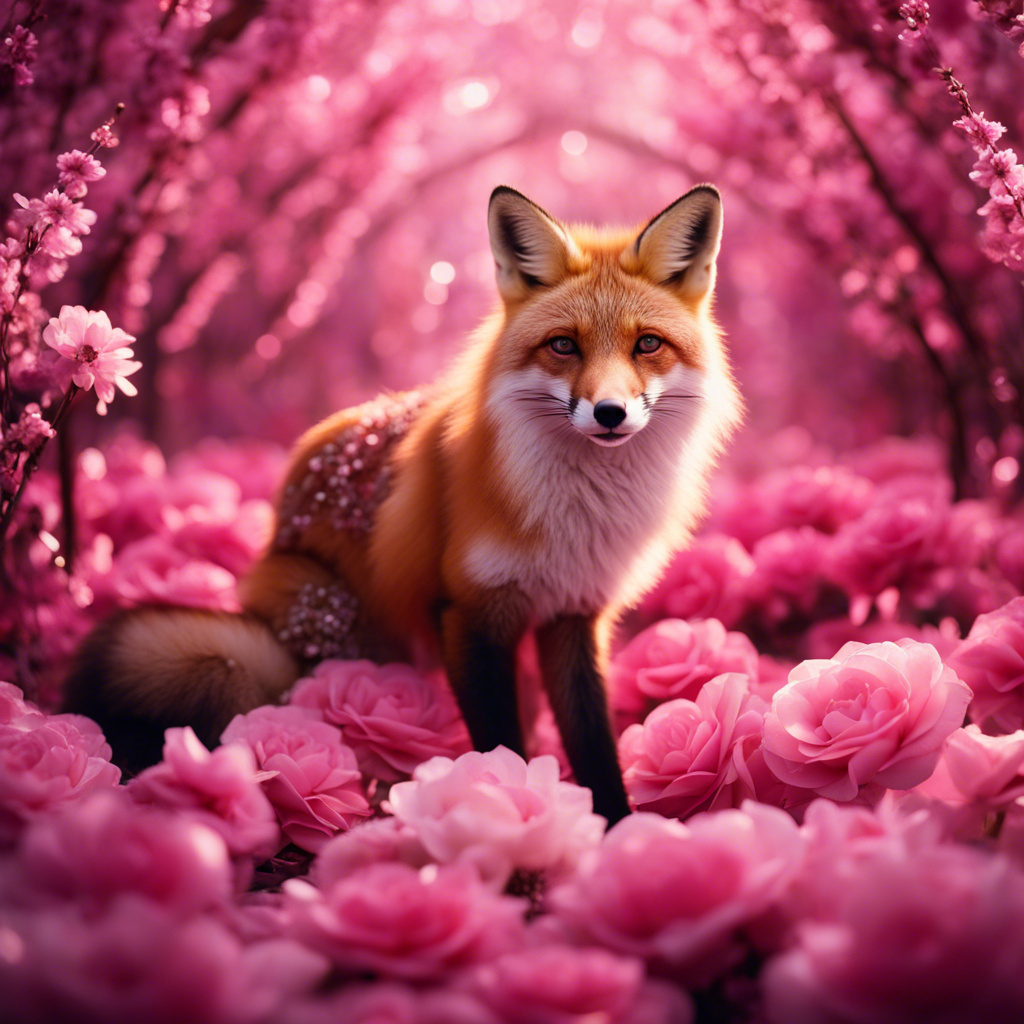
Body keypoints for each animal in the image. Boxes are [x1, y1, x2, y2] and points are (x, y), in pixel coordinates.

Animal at [63, 184, 742, 825]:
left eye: (647, 344)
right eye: (564, 346)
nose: (609, 413)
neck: (580, 515)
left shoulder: (574, 614)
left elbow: (594, 742)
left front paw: (618, 831)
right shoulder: (468, 610)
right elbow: (503, 742)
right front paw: (511, 802)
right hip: (331, 613)